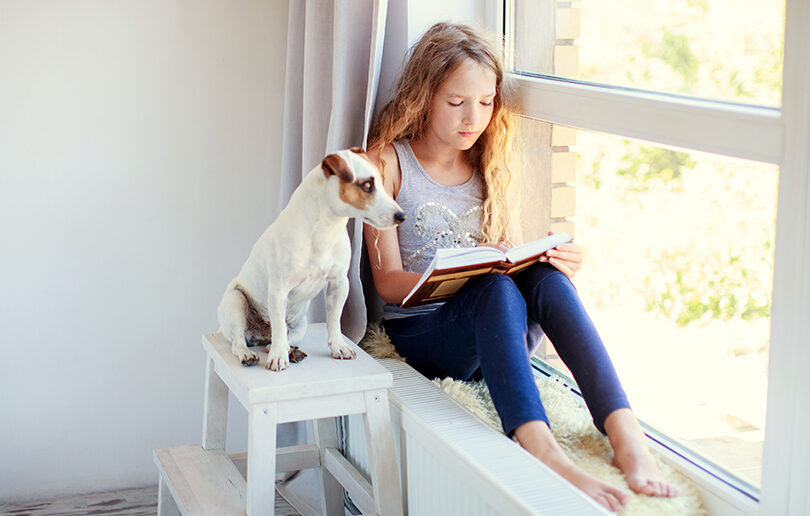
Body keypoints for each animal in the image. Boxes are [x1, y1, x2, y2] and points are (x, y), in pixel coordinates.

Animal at [218, 149, 404, 370]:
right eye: (367, 185)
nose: (402, 215)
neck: (325, 230)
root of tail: (259, 335)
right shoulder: (279, 290)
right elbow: (278, 327)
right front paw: (278, 357)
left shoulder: (339, 283)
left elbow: (334, 321)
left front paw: (339, 347)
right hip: (236, 301)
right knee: (242, 341)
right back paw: (250, 353)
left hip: (300, 325)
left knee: (279, 339)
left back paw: (291, 351)